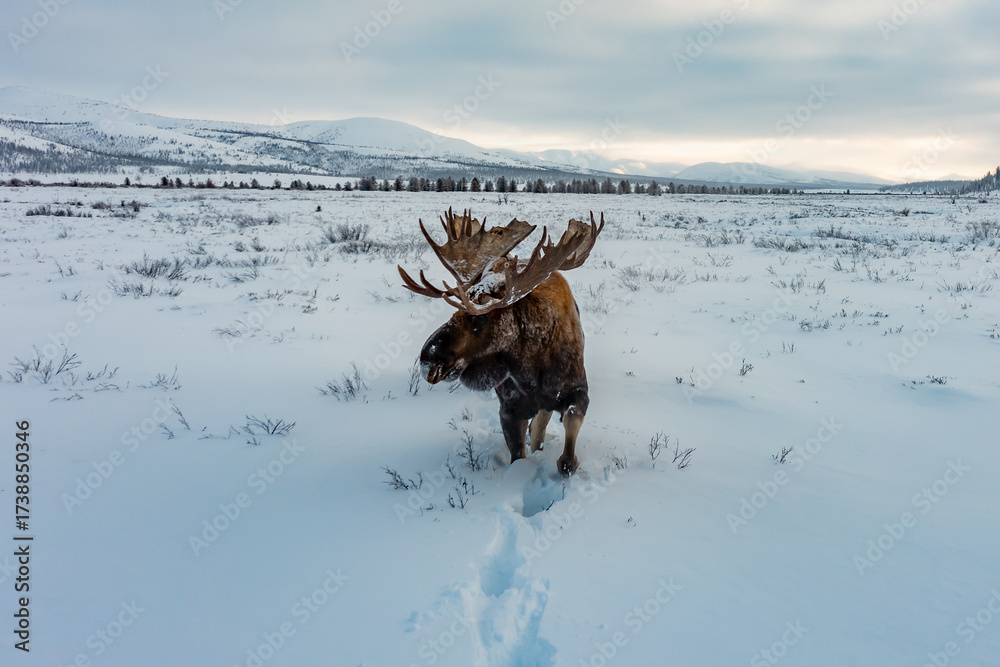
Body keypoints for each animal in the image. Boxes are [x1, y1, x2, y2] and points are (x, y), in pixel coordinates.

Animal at [398, 208, 604, 476]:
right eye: (454, 312)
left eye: (480, 317)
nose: (428, 360)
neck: (530, 371)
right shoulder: (509, 409)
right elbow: (519, 452)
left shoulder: (576, 391)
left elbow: (567, 448)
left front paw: (567, 462)